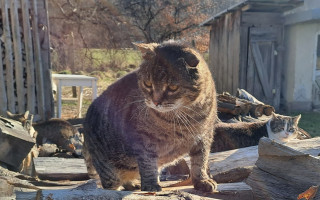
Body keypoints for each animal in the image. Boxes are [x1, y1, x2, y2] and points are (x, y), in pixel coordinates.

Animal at [83, 41, 218, 192]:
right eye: (147, 84)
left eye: (172, 87)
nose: (156, 102)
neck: (186, 115)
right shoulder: (144, 142)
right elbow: (148, 165)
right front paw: (151, 185)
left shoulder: (205, 136)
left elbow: (200, 162)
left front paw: (202, 180)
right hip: (110, 173)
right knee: (111, 184)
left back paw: (133, 183)